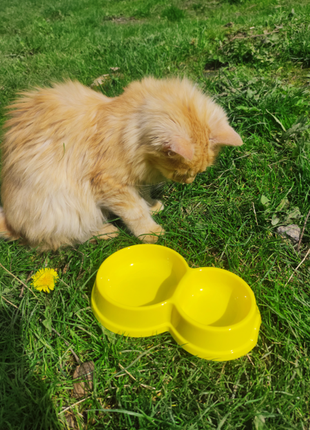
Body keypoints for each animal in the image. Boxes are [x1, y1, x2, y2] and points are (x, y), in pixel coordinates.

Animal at [0, 77, 242, 249]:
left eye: (198, 172)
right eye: (181, 171)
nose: (188, 182)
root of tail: (12, 223)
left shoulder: (135, 178)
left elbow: (142, 196)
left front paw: (152, 206)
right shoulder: (109, 183)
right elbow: (134, 210)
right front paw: (150, 232)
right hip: (63, 207)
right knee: (62, 239)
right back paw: (106, 232)